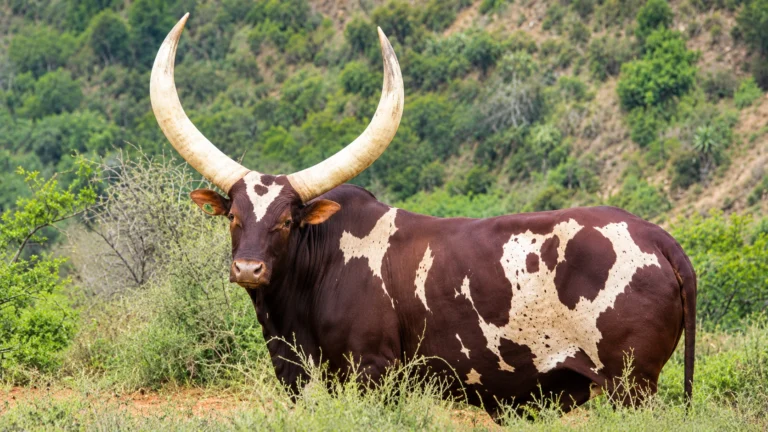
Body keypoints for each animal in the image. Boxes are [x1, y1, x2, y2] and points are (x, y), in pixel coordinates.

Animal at [150, 14, 696, 417]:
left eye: (286, 221)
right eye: (234, 217)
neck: (319, 269)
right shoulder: (297, 374)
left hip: (631, 385)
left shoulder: (374, 372)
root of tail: (659, 240)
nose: (249, 269)